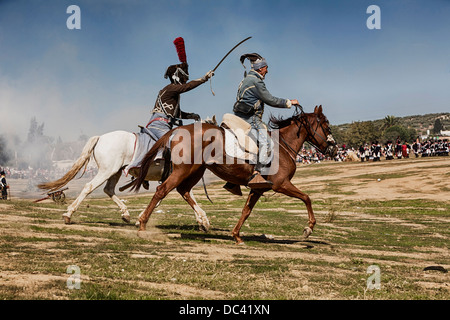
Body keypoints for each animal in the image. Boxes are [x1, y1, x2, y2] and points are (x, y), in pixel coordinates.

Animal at [37, 130, 211, 230]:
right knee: (88, 187)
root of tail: (100, 138)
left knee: (108, 189)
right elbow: (185, 196)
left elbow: (181, 197)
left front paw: (203, 221)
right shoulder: (176, 178)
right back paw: (68, 214)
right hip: (107, 171)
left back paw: (126, 214)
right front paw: (203, 220)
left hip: (115, 171)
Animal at [132, 106, 336, 244]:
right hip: (184, 170)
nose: (333, 149)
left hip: (196, 170)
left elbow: (246, 211)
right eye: (326, 126)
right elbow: (306, 198)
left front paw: (236, 235)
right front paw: (308, 228)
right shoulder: (281, 184)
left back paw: (203, 221)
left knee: (184, 191)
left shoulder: (258, 189)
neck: (282, 145)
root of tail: (180, 130)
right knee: (162, 190)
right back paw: (142, 224)